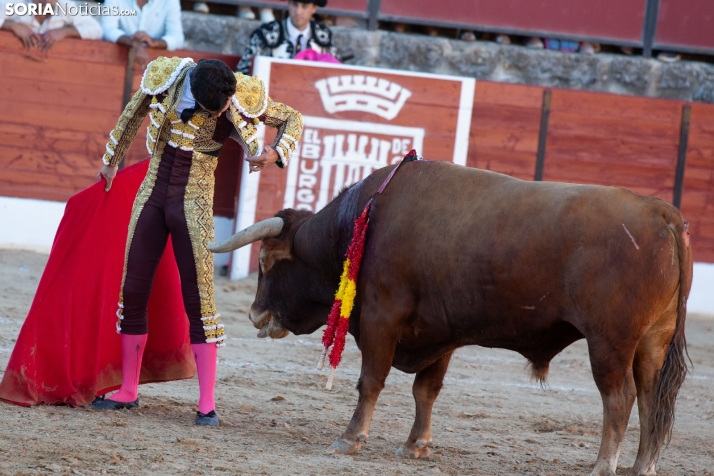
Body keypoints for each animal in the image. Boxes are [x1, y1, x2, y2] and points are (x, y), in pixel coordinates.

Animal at [209, 161, 688, 476]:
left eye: (268, 261)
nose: (255, 313)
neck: (362, 222)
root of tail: (661, 212)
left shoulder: (381, 317)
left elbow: (371, 381)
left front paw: (349, 438)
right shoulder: (440, 333)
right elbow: (427, 389)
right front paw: (416, 446)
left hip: (609, 343)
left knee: (619, 399)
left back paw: (603, 466)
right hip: (651, 343)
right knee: (651, 399)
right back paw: (642, 468)